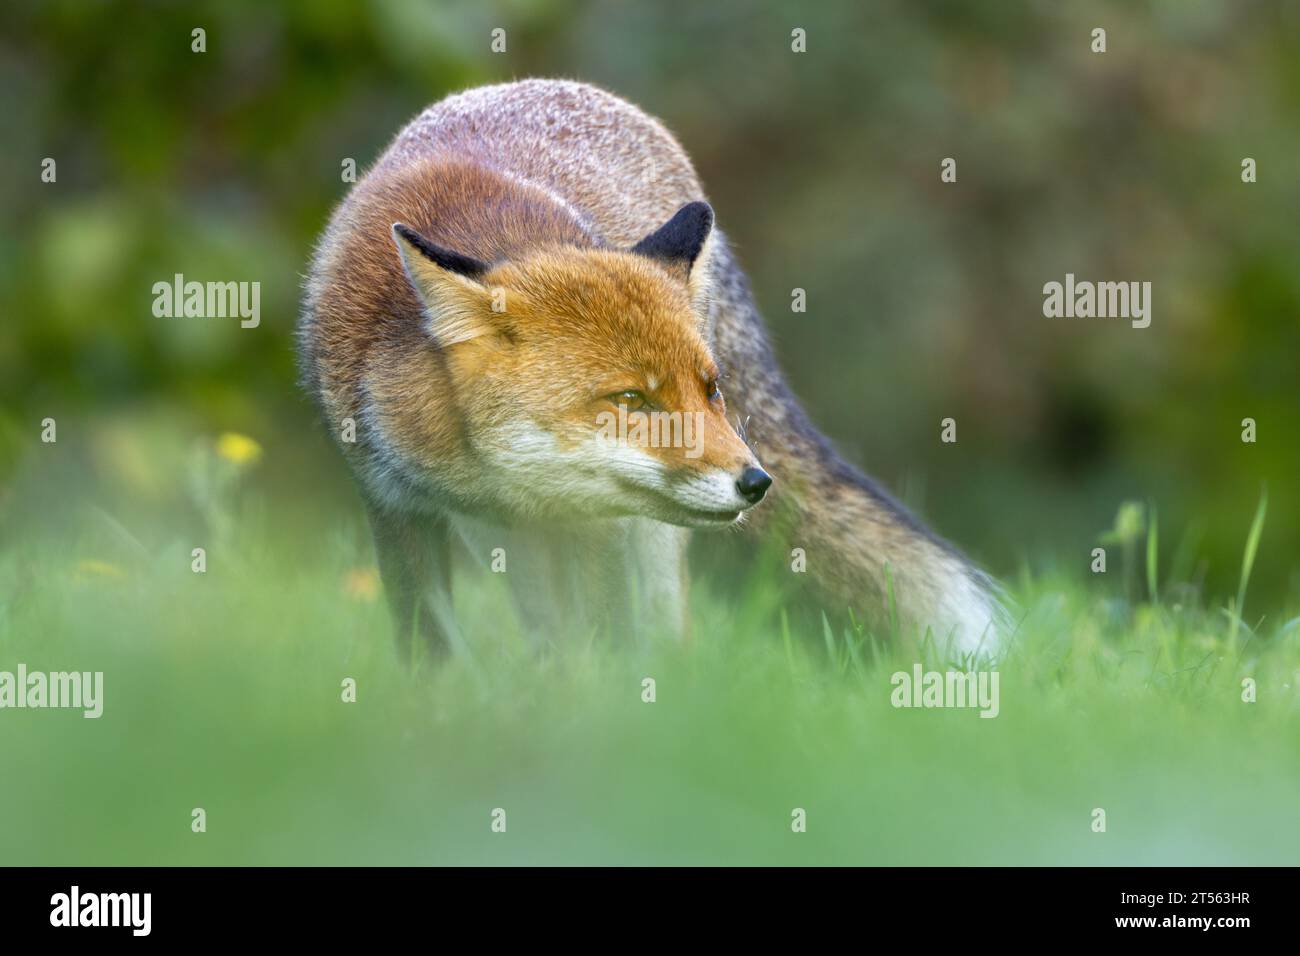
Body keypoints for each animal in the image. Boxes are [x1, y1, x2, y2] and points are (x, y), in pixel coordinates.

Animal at [298, 78, 1004, 658]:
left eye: (711, 390)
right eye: (632, 400)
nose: (756, 483)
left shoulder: (603, 522)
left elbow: (607, 643)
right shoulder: (393, 505)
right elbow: (430, 653)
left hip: (648, 543)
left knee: (661, 629)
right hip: (506, 544)